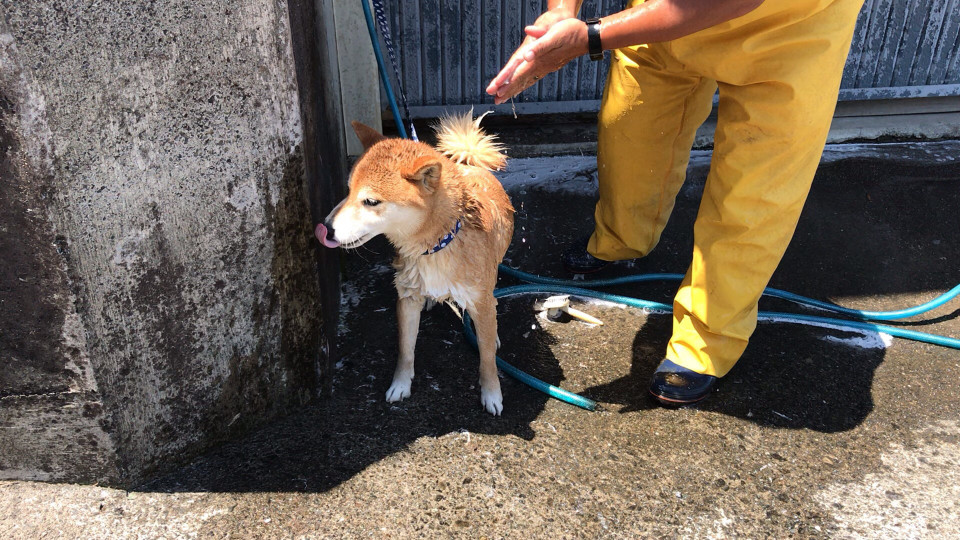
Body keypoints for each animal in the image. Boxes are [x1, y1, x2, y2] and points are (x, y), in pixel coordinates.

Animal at [316, 109, 512, 414]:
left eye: (371, 201)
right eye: (348, 191)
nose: (325, 228)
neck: (437, 245)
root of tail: (469, 163)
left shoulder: (479, 298)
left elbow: (488, 359)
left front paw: (492, 393)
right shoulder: (407, 298)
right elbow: (405, 350)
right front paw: (400, 385)